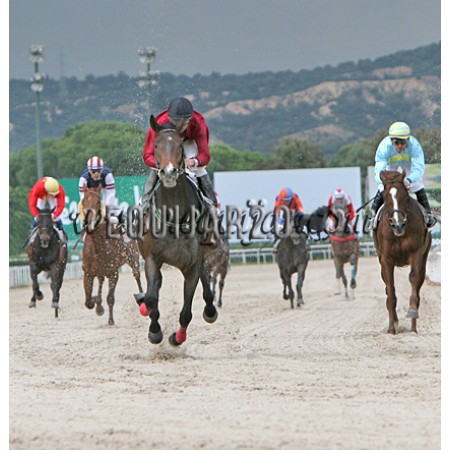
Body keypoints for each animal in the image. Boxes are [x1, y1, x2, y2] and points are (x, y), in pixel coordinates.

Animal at [80, 186, 143, 325]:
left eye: (98, 202)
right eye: (83, 201)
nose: (88, 223)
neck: (99, 246)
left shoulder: (113, 273)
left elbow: (110, 298)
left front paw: (110, 320)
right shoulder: (88, 273)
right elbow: (88, 302)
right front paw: (98, 305)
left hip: (134, 259)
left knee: (137, 276)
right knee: (100, 281)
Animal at [134, 115, 218, 346]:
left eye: (180, 146)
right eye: (155, 145)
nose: (169, 173)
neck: (175, 216)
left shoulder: (191, 265)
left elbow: (186, 313)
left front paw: (177, 338)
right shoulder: (152, 258)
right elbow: (152, 298)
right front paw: (154, 331)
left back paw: (210, 310)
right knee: (155, 287)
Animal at [373, 170, 432, 334]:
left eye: (404, 196)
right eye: (385, 197)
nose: (398, 224)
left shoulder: (416, 254)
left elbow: (413, 278)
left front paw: (412, 313)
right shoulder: (386, 259)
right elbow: (390, 289)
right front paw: (392, 327)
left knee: (418, 284)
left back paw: (413, 327)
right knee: (387, 288)